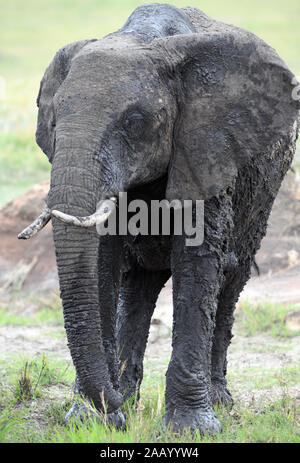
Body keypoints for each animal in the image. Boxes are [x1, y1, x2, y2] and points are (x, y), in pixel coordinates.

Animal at [19, 3, 300, 436]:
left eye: (134, 122)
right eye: (52, 124)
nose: (110, 402)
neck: (144, 39)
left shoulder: (205, 149)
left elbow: (198, 264)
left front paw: (191, 429)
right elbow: (102, 263)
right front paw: (93, 419)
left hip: (263, 194)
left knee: (232, 279)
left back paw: (220, 402)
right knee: (137, 284)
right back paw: (130, 394)